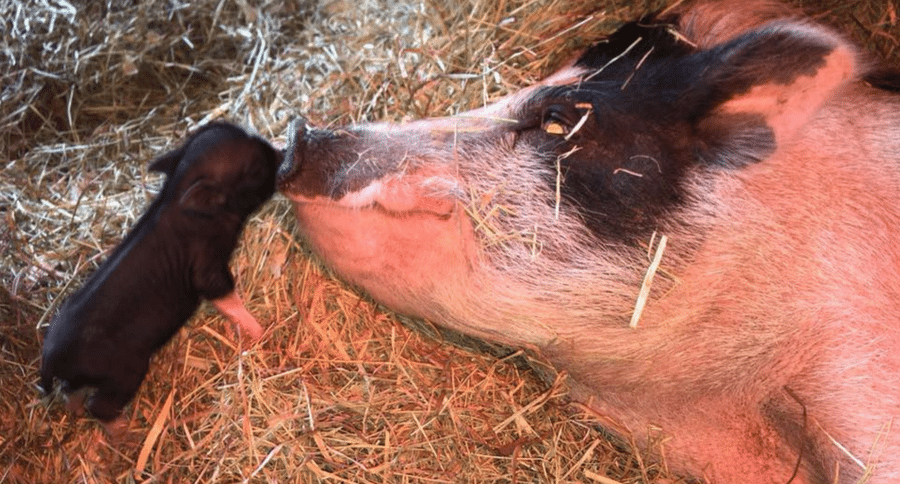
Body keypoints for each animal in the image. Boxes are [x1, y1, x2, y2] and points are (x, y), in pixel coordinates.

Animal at [40, 121, 281, 426]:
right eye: (256, 169)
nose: (284, 154)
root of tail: (49, 356)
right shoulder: (206, 264)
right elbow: (223, 293)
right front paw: (262, 332)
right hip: (126, 369)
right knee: (100, 406)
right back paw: (127, 429)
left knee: (70, 392)